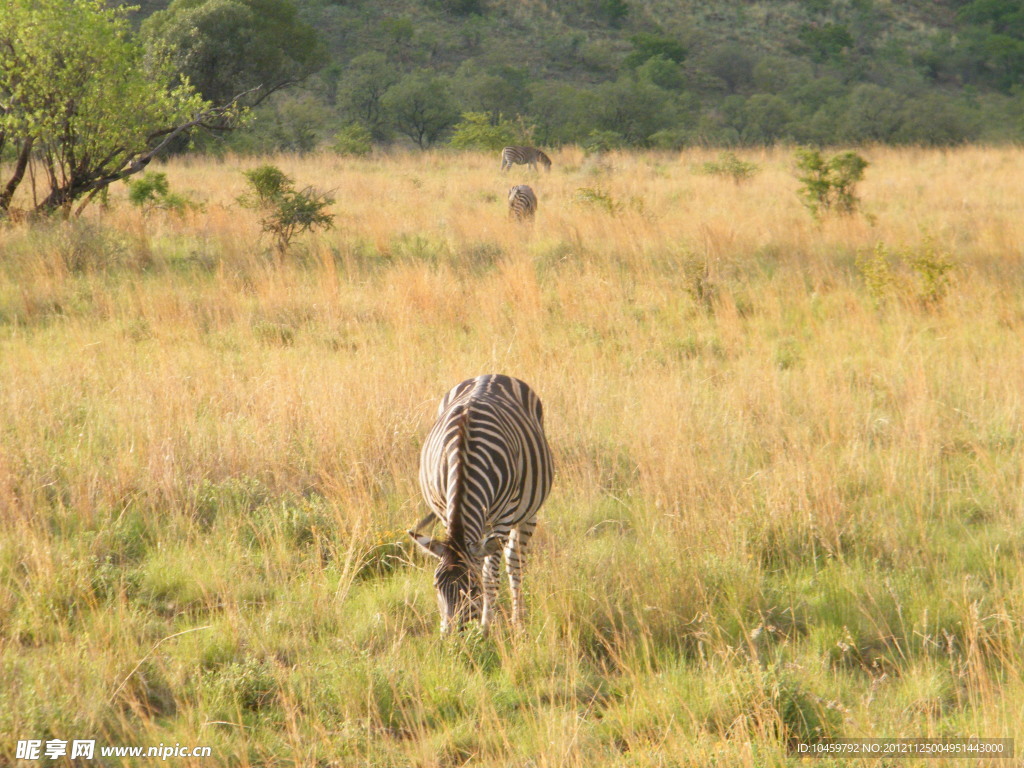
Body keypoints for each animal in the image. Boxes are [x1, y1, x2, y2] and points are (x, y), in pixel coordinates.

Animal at [405, 376, 552, 634]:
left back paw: (518, 620)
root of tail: (492, 375)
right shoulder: (445, 513)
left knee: (514, 561)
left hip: (527, 512)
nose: (450, 638)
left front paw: (486, 626)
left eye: (472, 589)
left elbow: (489, 576)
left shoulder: (503, 519)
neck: (464, 459)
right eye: (436, 586)